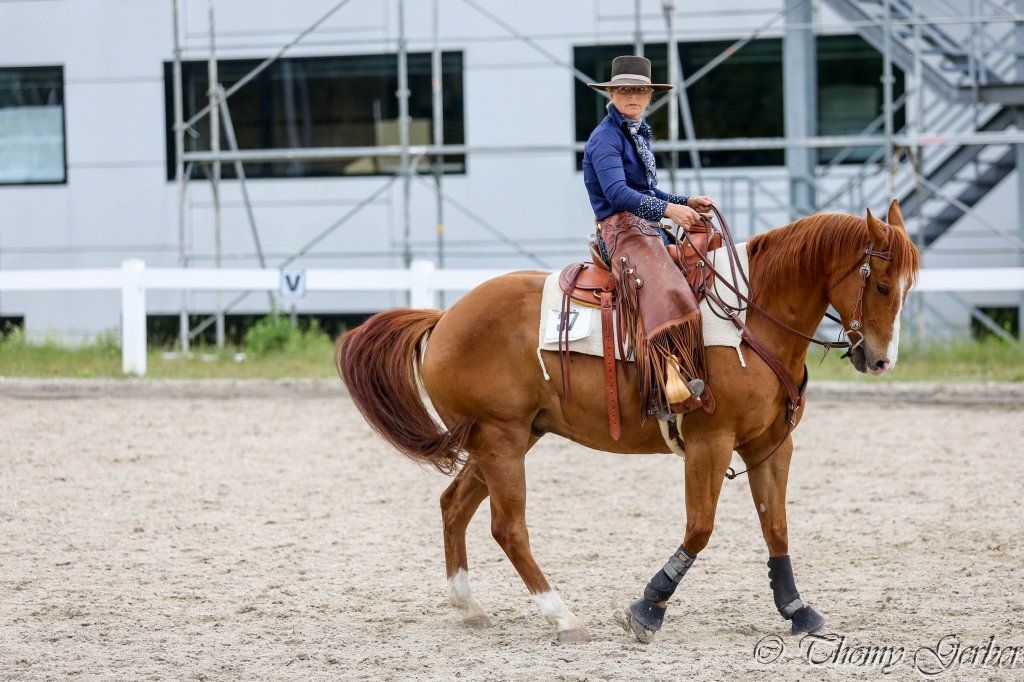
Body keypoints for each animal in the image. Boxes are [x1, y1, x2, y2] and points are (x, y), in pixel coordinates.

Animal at [335, 200, 920, 644]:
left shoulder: (770, 446)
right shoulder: (710, 444)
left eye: (910, 286)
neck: (750, 318)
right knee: (508, 528)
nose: (880, 360)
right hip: (500, 441)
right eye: (881, 286)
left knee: (454, 506)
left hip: (504, 440)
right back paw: (563, 617)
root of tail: (444, 319)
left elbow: (775, 526)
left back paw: (470, 606)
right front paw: (648, 608)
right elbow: (700, 528)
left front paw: (797, 609)